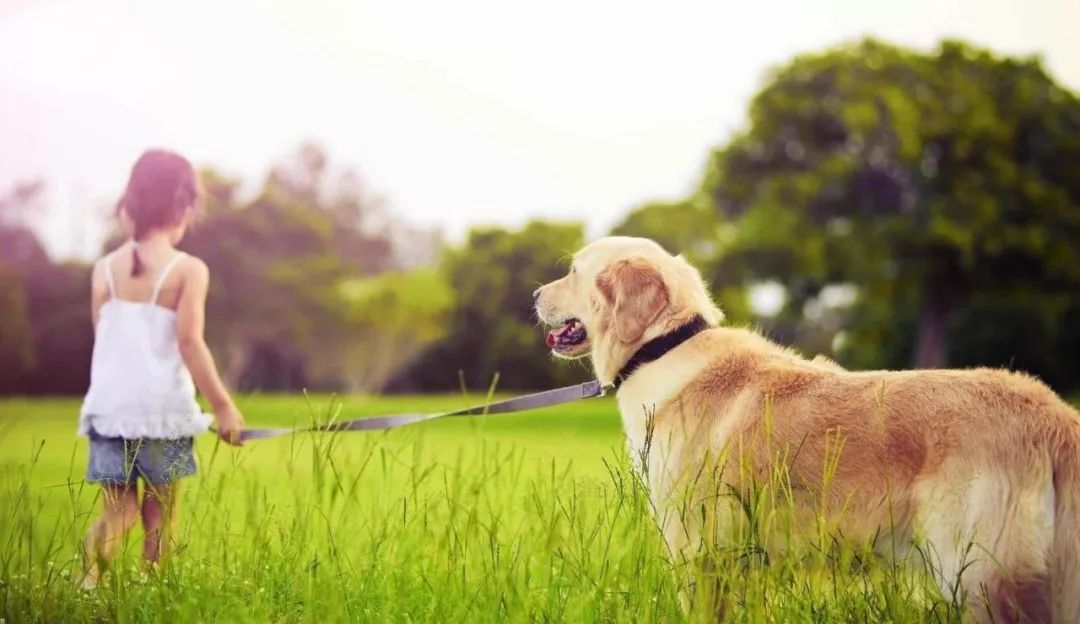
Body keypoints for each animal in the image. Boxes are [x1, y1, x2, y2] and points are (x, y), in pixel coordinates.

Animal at [535, 235, 1080, 617]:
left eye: (575, 271)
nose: (536, 292)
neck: (663, 346)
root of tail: (1054, 413)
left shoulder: (697, 549)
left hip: (981, 576)